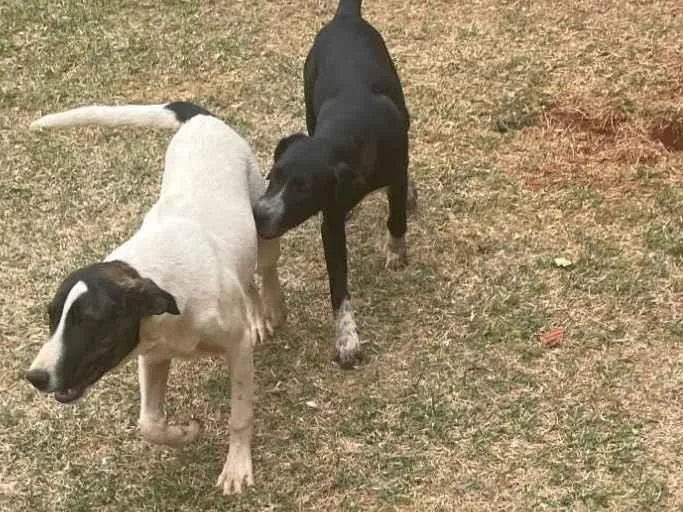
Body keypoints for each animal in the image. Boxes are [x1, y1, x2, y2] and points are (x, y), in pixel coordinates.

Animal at [25, 102, 284, 494]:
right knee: (247, 280)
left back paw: (270, 307)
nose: (35, 377)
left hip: (262, 220)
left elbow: (239, 415)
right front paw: (184, 432)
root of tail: (200, 118)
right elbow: (148, 424)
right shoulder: (153, 357)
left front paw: (237, 466)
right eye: (51, 317)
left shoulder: (236, 349)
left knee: (266, 270)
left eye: (89, 321)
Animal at [254, 0, 414, 368]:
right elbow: (338, 284)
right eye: (273, 175)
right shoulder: (330, 222)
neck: (350, 129)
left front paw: (396, 251)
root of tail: (345, 17)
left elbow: (397, 216)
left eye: (303, 189)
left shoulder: (398, 171)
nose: (258, 214)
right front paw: (347, 338)